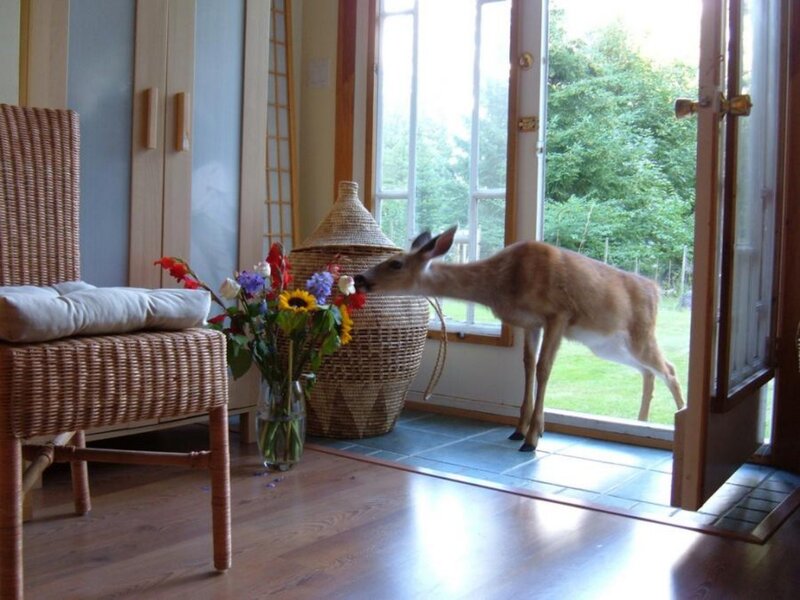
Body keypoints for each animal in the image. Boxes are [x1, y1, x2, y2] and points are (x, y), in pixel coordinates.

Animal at [353, 226, 685, 452]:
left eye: (395, 263)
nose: (359, 278)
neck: (502, 282)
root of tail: (655, 289)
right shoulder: (530, 323)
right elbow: (527, 366)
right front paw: (519, 430)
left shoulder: (558, 314)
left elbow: (543, 369)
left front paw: (533, 438)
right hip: (609, 346)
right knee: (650, 371)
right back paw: (643, 420)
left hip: (638, 335)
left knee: (669, 369)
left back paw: (679, 416)